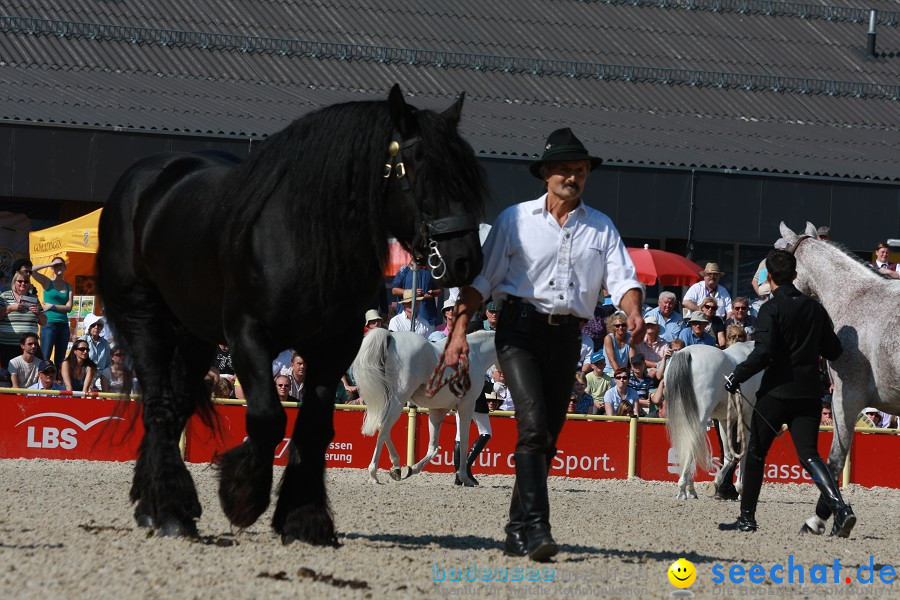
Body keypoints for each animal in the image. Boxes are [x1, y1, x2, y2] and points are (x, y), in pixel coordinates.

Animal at [352, 328, 496, 488]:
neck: (475, 354)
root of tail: (390, 335)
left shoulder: (438, 411)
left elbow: (433, 448)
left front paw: (412, 469)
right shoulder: (467, 406)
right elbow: (464, 442)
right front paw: (465, 477)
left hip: (387, 399)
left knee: (382, 428)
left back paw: (396, 467)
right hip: (399, 399)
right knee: (384, 428)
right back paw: (374, 474)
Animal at [664, 342, 764, 502]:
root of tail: (686, 352)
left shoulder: (724, 420)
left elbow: (729, 455)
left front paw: (717, 483)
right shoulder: (747, 417)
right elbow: (744, 451)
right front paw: (740, 488)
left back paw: (690, 488)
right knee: (692, 442)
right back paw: (683, 488)